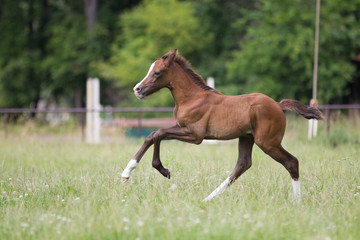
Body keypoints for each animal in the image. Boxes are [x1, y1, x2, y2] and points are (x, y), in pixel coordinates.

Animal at [121, 48, 324, 201]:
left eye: (157, 72)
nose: (137, 89)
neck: (192, 98)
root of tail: (278, 105)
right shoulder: (185, 130)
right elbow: (151, 135)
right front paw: (126, 173)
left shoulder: (195, 135)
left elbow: (158, 133)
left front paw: (163, 170)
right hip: (247, 137)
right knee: (243, 164)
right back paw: (209, 198)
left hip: (268, 142)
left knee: (291, 162)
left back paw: (297, 201)